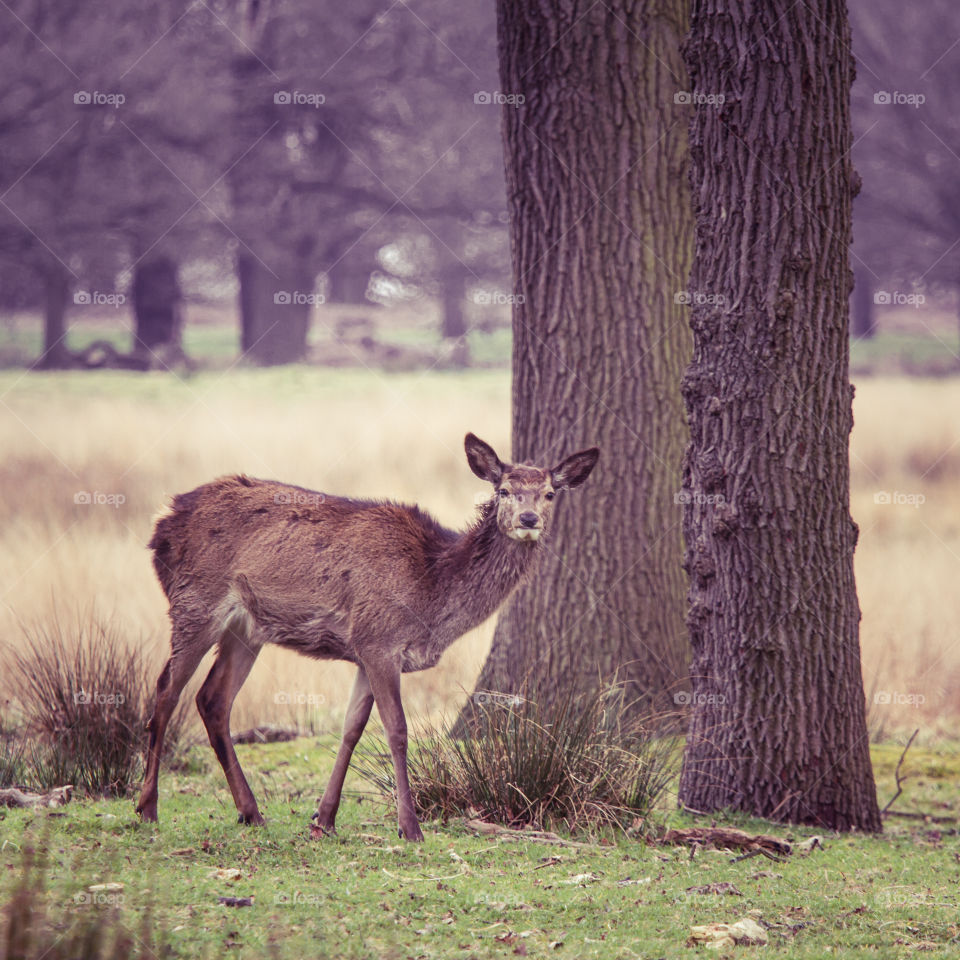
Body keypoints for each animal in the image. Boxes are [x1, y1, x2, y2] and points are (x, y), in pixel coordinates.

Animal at [137, 434, 600, 840]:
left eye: (549, 494)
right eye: (504, 490)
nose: (528, 520)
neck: (431, 590)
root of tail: (160, 523)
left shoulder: (363, 650)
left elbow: (352, 728)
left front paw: (324, 819)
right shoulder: (379, 639)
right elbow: (397, 729)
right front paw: (410, 828)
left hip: (246, 629)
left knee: (212, 699)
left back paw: (251, 812)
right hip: (194, 602)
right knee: (166, 689)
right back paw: (147, 807)